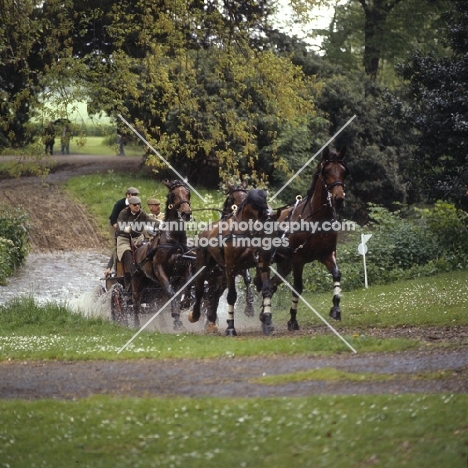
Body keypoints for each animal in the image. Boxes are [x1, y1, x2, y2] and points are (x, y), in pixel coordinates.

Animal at [131, 178, 193, 330]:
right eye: (173, 194)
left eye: (188, 193)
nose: (186, 213)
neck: (174, 239)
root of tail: (137, 249)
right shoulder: (160, 270)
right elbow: (171, 292)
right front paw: (176, 319)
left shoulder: (184, 269)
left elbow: (186, 287)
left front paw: (184, 305)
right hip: (137, 280)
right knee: (136, 302)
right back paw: (136, 324)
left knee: (159, 303)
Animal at [187, 189, 274, 336]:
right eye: (256, 203)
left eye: (265, 200)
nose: (270, 215)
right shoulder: (231, 267)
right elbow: (232, 296)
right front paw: (230, 328)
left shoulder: (261, 263)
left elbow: (266, 290)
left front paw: (267, 323)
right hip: (204, 265)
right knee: (199, 289)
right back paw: (195, 315)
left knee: (214, 295)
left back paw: (211, 319)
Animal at [266, 146, 350, 330]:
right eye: (326, 171)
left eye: (344, 171)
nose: (339, 199)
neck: (317, 219)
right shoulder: (299, 258)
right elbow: (297, 287)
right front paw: (292, 320)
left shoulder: (327, 254)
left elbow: (337, 275)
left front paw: (336, 309)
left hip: (285, 264)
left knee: (270, 286)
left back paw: (264, 315)